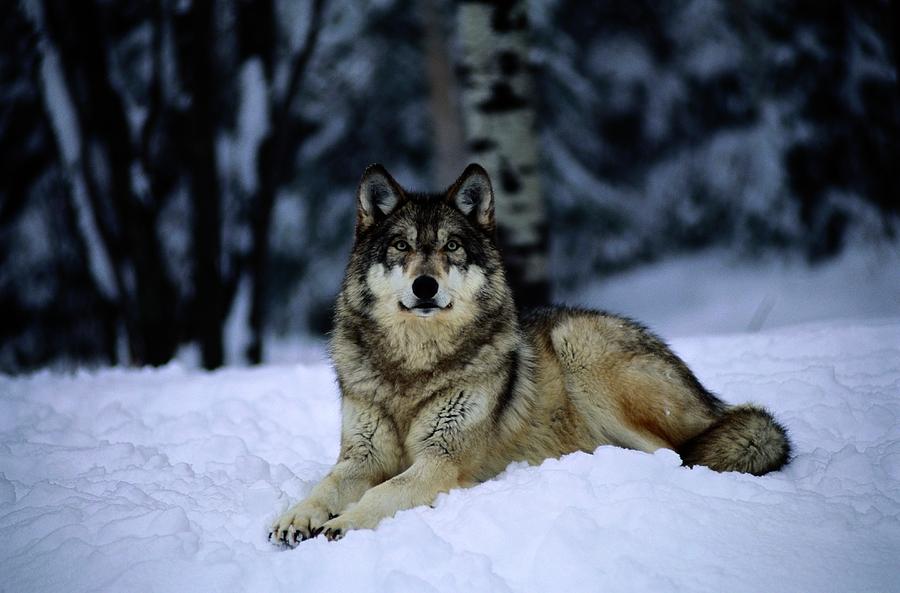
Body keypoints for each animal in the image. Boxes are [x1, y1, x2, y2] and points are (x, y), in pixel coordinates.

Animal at [268, 163, 788, 544]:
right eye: (401, 245)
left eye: (452, 247)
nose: (425, 286)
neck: (413, 366)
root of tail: (710, 399)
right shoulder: (362, 457)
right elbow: (326, 486)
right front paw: (297, 517)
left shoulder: (441, 461)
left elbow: (382, 495)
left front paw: (341, 524)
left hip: (581, 348)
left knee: (675, 454)